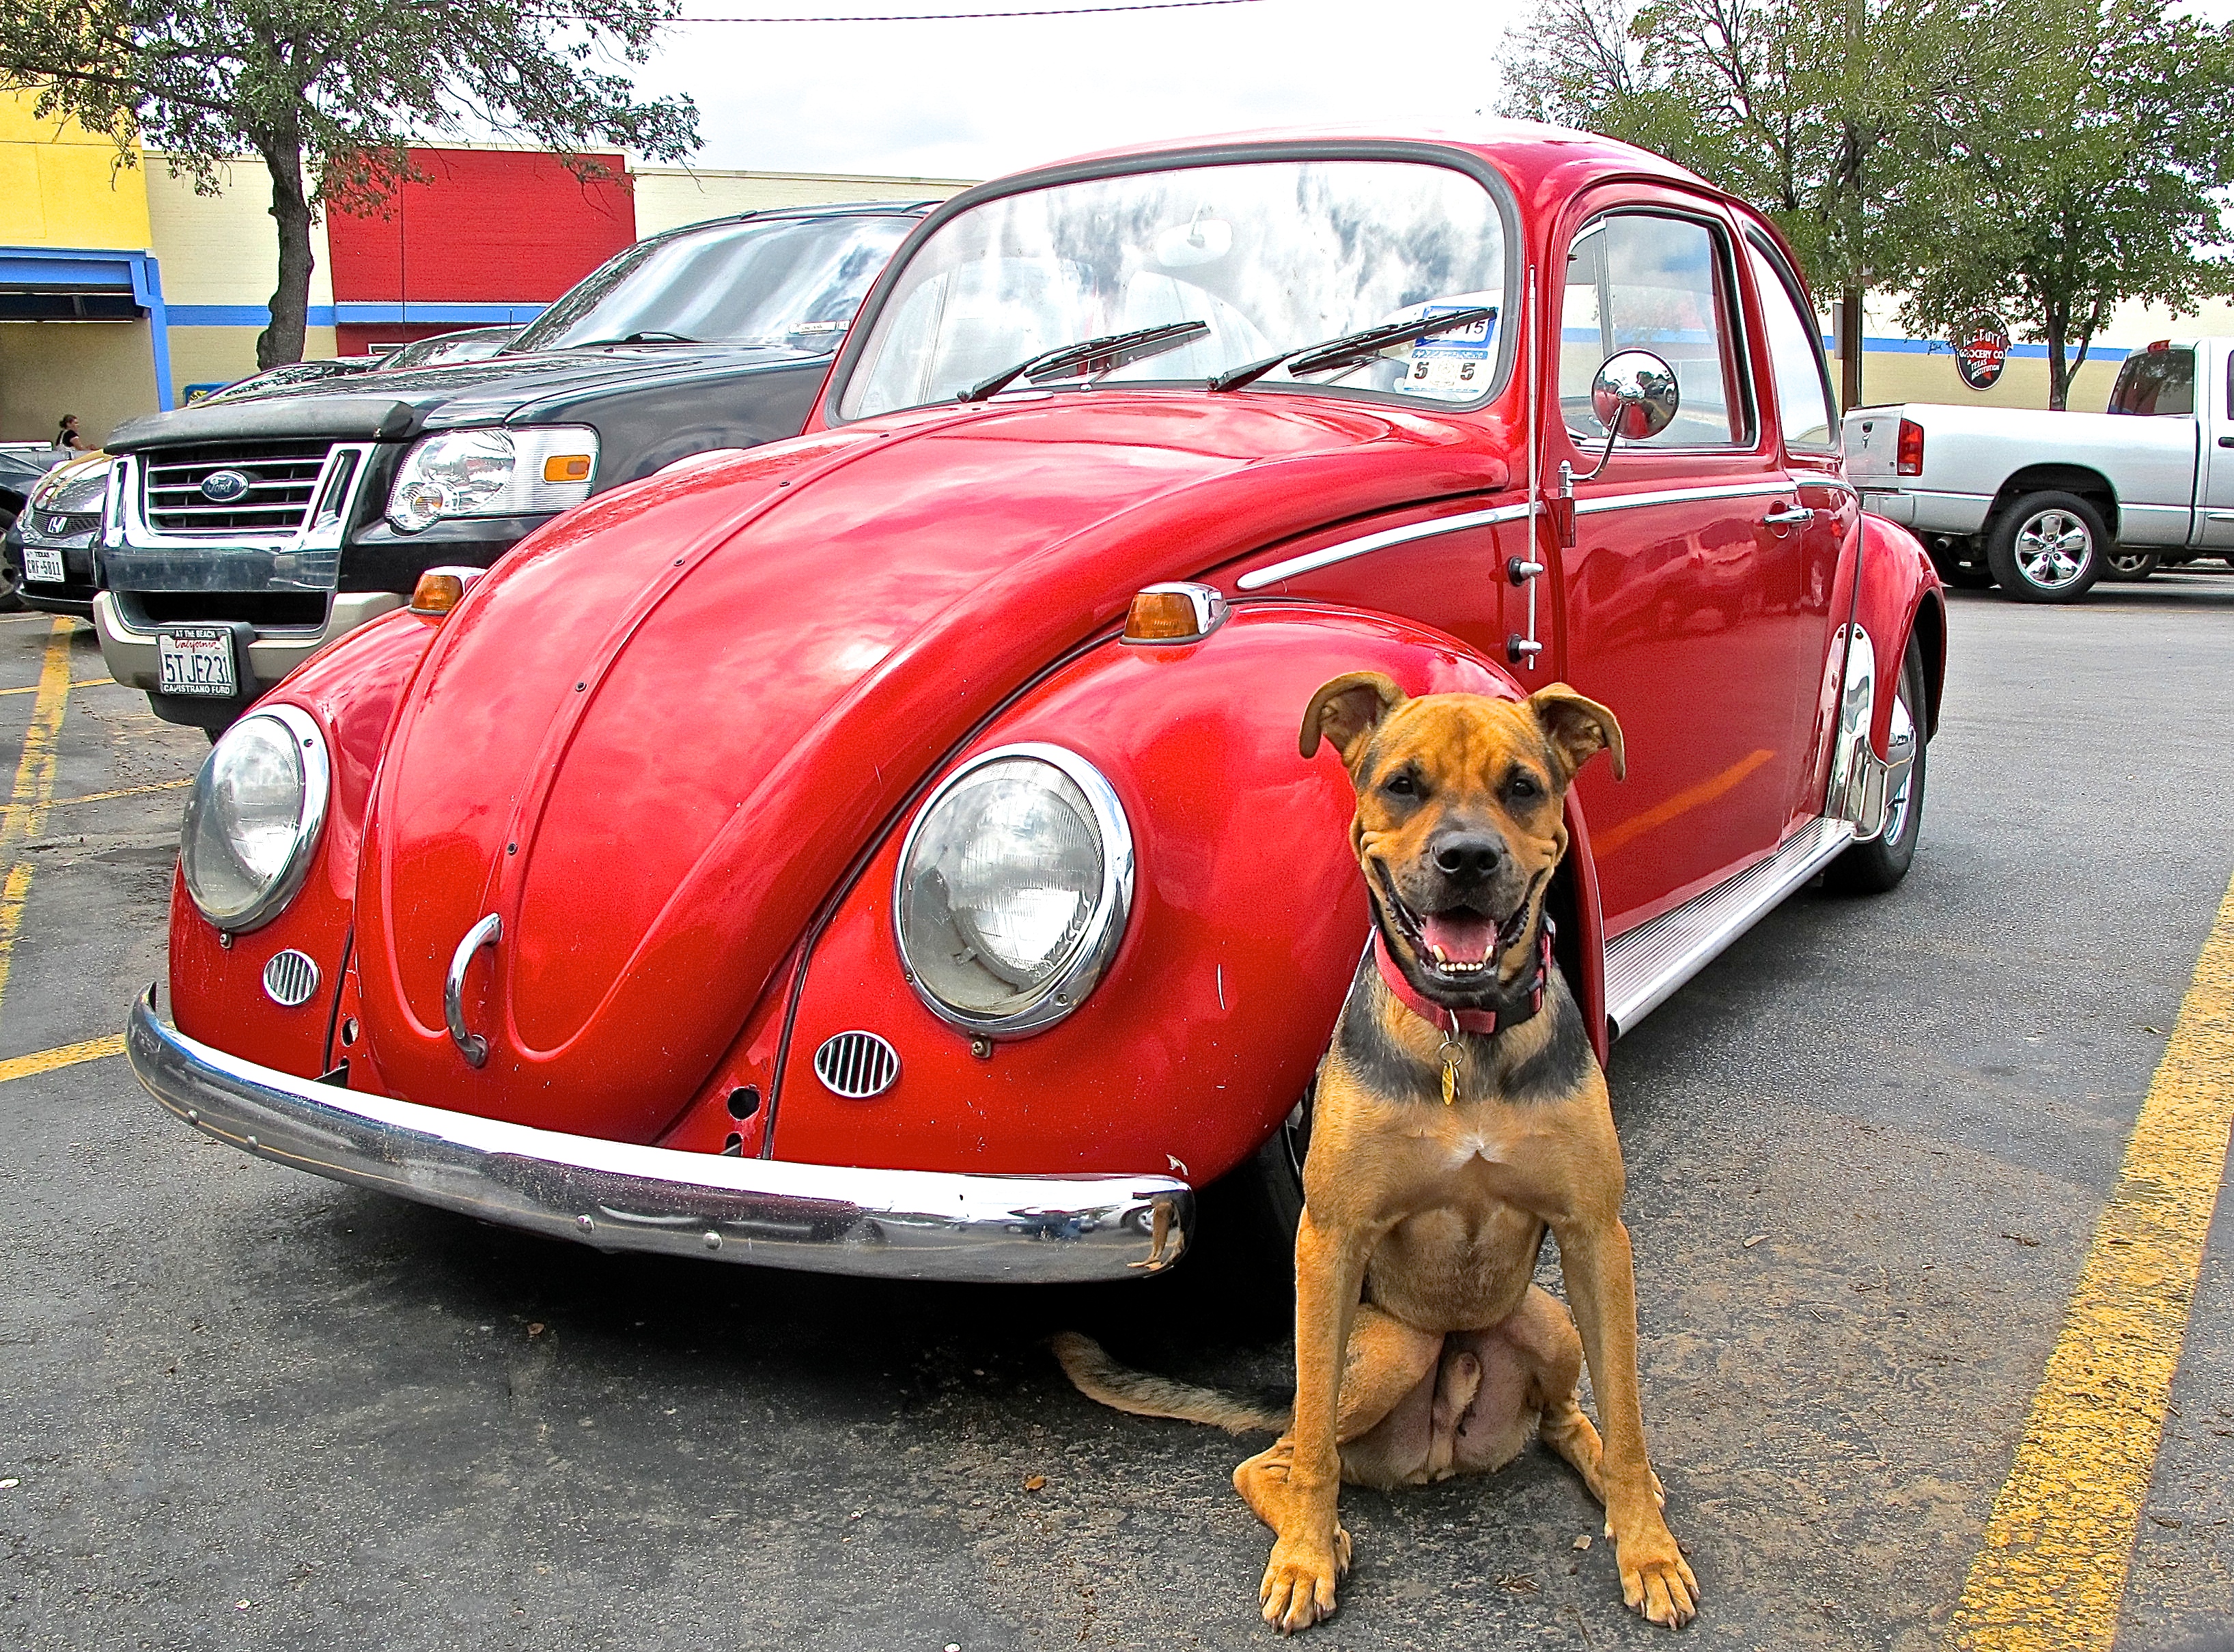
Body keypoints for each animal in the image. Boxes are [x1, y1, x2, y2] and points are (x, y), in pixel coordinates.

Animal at [1063, 678, 1688, 1634]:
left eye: (1521, 787)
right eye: (1402, 784)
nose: (1466, 860)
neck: (1464, 1034)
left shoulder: (1596, 1236)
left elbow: (1627, 1413)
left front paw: (1647, 1547)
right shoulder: (1329, 1238)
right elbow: (1315, 1451)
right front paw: (1305, 1559)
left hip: (1545, 1317)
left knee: (1569, 1419)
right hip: (1388, 1346)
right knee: (1282, 1448)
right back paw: (1311, 1527)